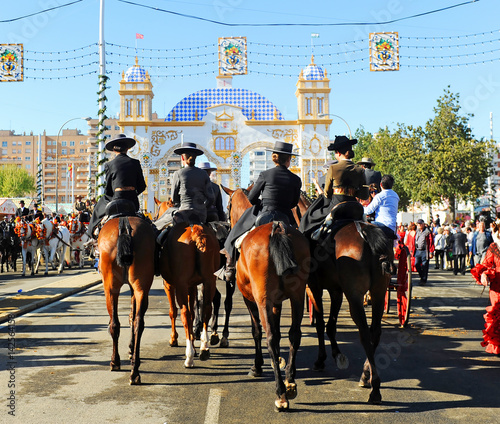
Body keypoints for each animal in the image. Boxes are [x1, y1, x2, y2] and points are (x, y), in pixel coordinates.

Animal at [96, 215, 154, 384]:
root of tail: (124, 224)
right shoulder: (135, 290)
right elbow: (132, 316)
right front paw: (131, 348)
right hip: (141, 288)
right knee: (138, 324)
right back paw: (135, 371)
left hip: (110, 288)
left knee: (115, 324)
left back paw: (115, 362)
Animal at [154, 198, 219, 368]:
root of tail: (195, 230)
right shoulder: (192, 286)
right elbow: (194, 311)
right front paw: (195, 343)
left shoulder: (170, 285)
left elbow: (174, 311)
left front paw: (174, 339)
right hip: (210, 280)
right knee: (206, 308)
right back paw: (204, 347)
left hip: (181, 286)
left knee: (184, 313)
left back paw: (189, 356)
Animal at [222, 186, 308, 410]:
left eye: (228, 205)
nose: (226, 223)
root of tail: (277, 228)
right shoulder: (276, 301)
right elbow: (278, 332)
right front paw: (278, 360)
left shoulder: (251, 298)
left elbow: (258, 331)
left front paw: (258, 366)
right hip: (297, 296)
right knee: (294, 334)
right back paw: (290, 382)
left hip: (261, 298)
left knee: (268, 335)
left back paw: (280, 393)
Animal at [298, 192, 392, 404]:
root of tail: (365, 232)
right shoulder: (336, 290)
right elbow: (330, 325)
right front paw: (335, 354)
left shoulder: (315, 288)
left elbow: (320, 324)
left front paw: (322, 359)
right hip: (378, 292)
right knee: (375, 332)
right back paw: (366, 375)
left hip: (355, 297)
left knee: (364, 333)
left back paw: (375, 388)